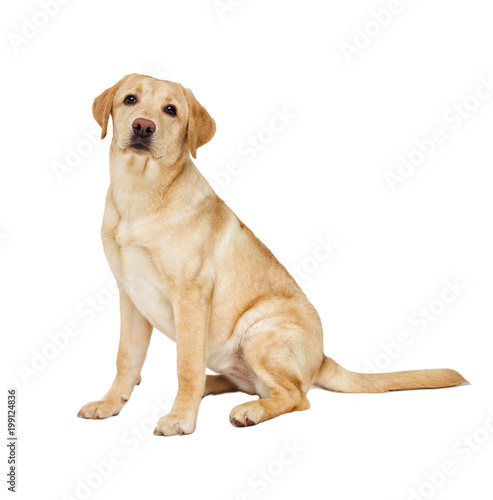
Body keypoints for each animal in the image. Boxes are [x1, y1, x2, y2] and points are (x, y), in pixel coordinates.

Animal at [76, 72, 466, 436]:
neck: (139, 195)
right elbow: (126, 358)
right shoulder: (130, 295)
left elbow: (186, 365)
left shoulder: (190, 296)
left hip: (259, 332)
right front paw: (110, 403)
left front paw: (180, 418)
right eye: (130, 99)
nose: (143, 126)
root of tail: (322, 359)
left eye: (170, 110)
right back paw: (213, 387)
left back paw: (248, 410)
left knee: (295, 395)